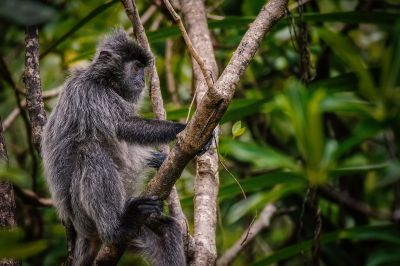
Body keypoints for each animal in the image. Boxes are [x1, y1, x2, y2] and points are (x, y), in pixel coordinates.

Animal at [41, 29, 198, 266]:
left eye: (142, 69)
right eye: (135, 67)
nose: (142, 79)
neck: (104, 82)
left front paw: (158, 159)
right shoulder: (90, 93)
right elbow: (124, 125)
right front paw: (184, 128)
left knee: (167, 229)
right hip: (83, 217)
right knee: (91, 151)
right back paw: (117, 228)